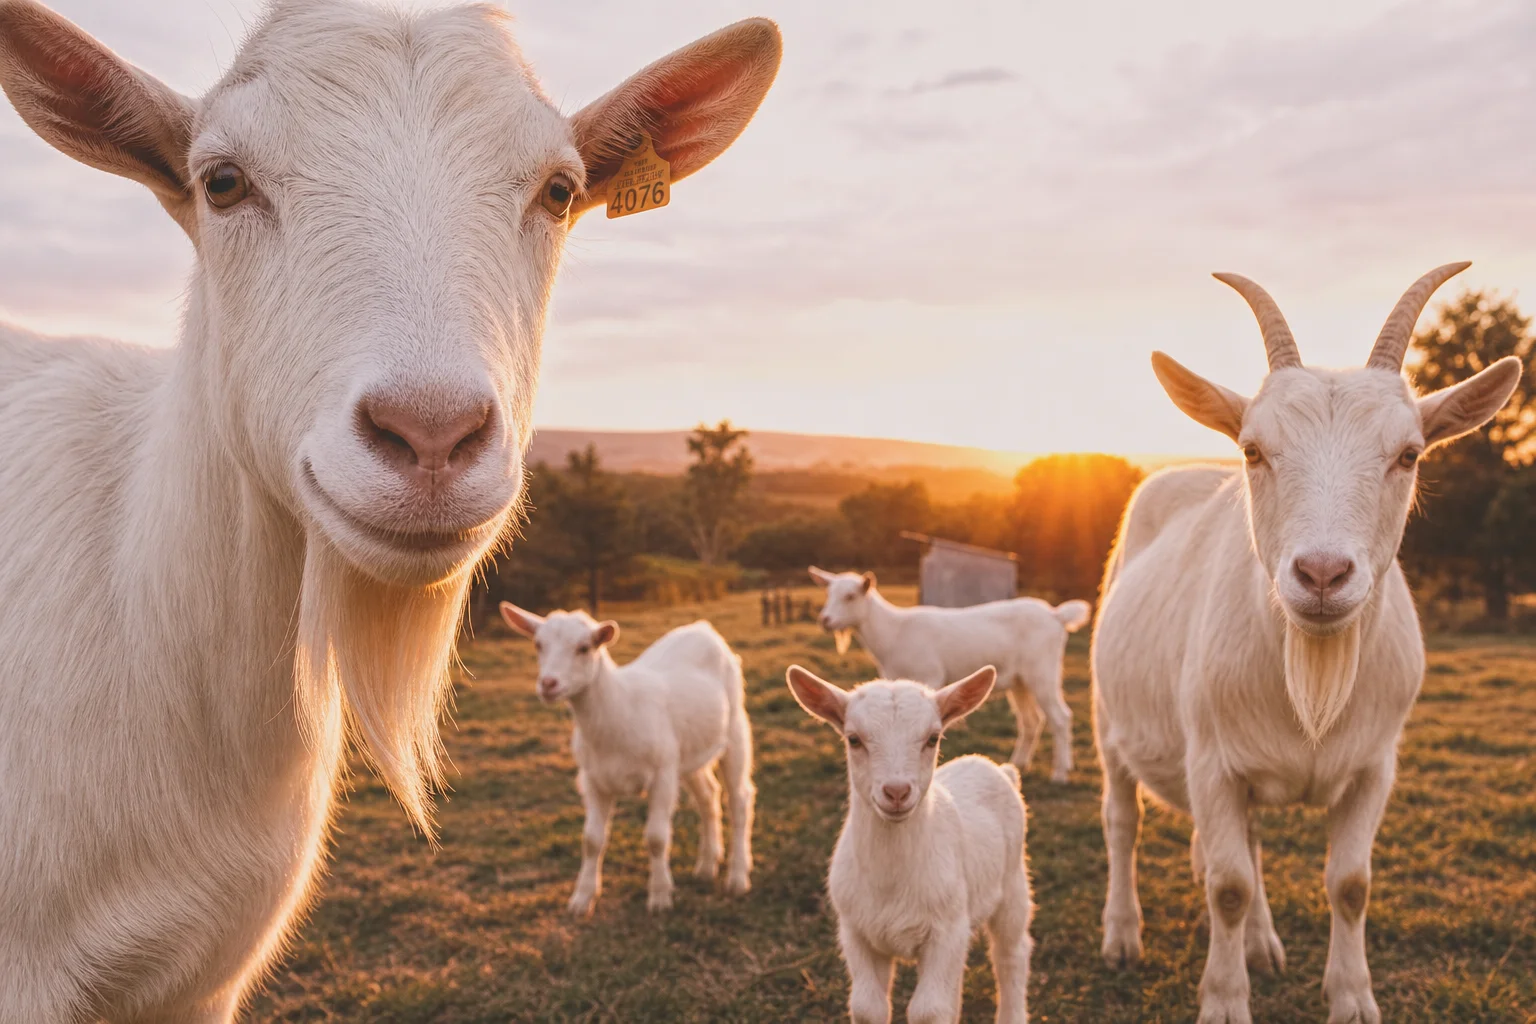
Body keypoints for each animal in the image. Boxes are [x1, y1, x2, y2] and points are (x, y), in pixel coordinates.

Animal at [1091, 263, 1521, 1023]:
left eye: (1409, 454)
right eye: (1253, 450)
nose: (1322, 574)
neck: (1313, 673)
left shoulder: (1376, 764)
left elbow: (1348, 883)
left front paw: (1351, 997)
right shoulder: (1211, 762)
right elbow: (1227, 885)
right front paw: (1224, 1001)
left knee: (1251, 842)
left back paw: (1262, 945)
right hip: (1109, 715)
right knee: (1122, 819)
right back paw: (1122, 936)